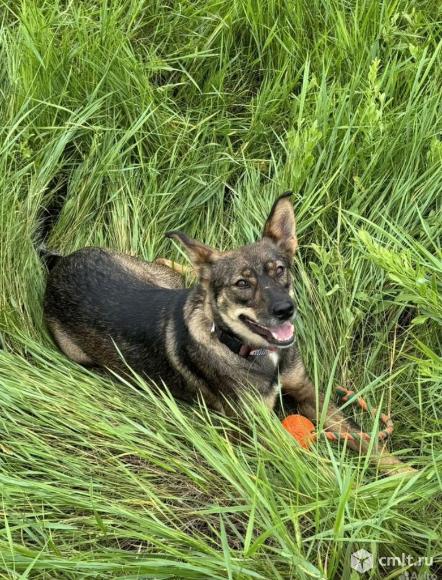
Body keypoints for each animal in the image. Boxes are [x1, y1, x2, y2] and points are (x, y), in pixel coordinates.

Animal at [42, 192, 412, 472]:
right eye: (242, 284)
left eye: (280, 270)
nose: (285, 310)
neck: (255, 351)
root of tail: (59, 263)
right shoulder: (261, 426)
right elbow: (312, 468)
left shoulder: (309, 394)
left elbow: (367, 442)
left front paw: (407, 479)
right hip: (79, 353)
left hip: (159, 277)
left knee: (175, 267)